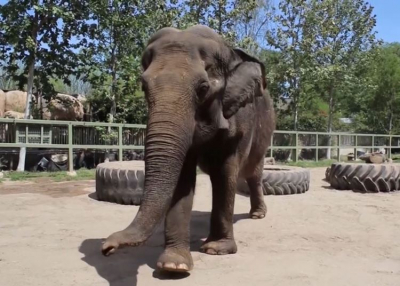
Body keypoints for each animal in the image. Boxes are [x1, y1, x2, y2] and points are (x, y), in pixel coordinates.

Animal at [101, 25, 276, 274]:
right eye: (143, 86)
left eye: (203, 88)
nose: (107, 248)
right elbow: (183, 177)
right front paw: (174, 265)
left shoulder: (241, 120)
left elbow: (226, 173)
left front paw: (216, 250)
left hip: (265, 131)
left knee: (253, 172)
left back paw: (258, 214)